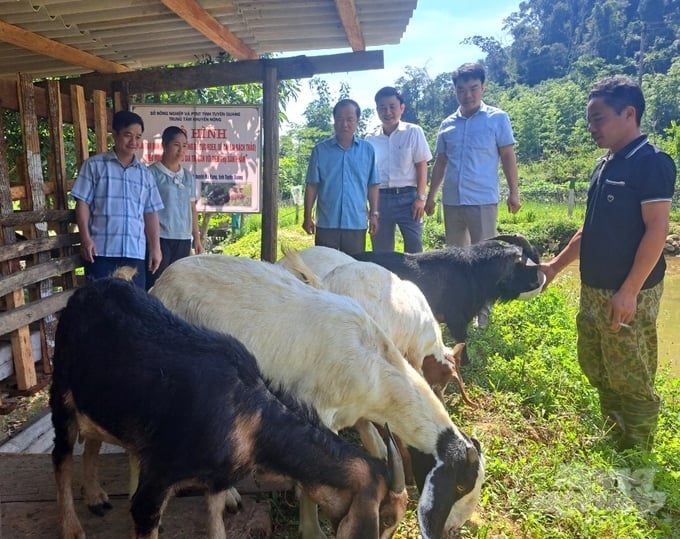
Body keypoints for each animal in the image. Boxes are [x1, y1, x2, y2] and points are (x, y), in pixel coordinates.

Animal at [51, 278, 410, 539]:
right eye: (386, 517)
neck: (252, 420)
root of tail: (86, 290)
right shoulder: (157, 481)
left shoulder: (215, 483)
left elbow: (216, 525)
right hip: (62, 393)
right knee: (62, 457)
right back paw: (72, 528)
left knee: (93, 438)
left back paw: (95, 496)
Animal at [151, 255, 486, 539]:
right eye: (459, 484)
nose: (451, 529)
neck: (376, 370)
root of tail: (163, 279)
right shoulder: (318, 415)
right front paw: (312, 530)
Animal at [354, 235, 544, 364]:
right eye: (526, 265)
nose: (537, 283)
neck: (474, 272)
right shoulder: (456, 319)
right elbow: (462, 341)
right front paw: (466, 362)